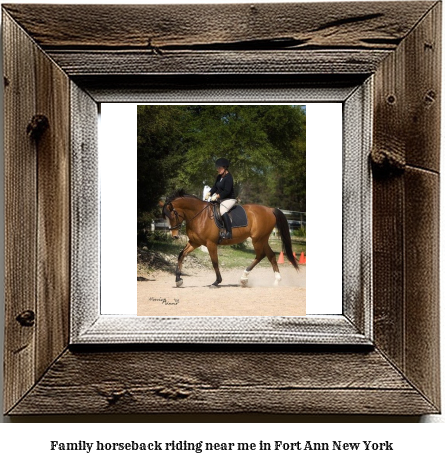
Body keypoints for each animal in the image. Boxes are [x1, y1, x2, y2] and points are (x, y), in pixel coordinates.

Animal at [161, 188, 296, 286]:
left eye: (172, 215)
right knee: (271, 255)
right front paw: (178, 280)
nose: (174, 236)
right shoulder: (195, 242)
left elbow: (215, 262)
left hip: (257, 239)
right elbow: (181, 255)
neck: (199, 216)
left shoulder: (211, 243)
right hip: (262, 239)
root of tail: (269, 209)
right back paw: (276, 281)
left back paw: (243, 278)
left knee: (260, 255)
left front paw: (217, 281)